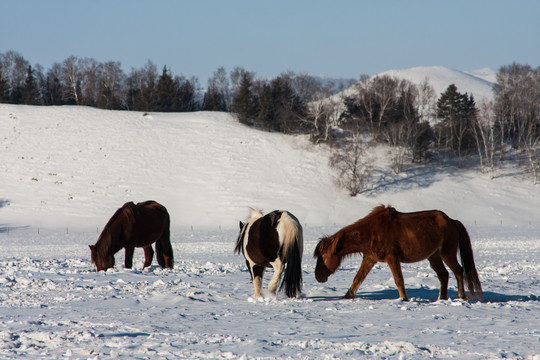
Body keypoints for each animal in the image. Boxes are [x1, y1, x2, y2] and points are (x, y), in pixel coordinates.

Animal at [314, 205, 484, 300]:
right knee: (444, 275)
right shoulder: (370, 258)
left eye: (323, 256)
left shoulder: (392, 258)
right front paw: (348, 296)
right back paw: (441, 298)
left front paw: (404, 299)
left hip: (447, 253)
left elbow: (398, 280)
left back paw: (462, 297)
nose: (318, 276)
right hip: (433, 256)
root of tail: (452, 221)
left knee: (458, 271)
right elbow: (358, 278)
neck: (372, 232)